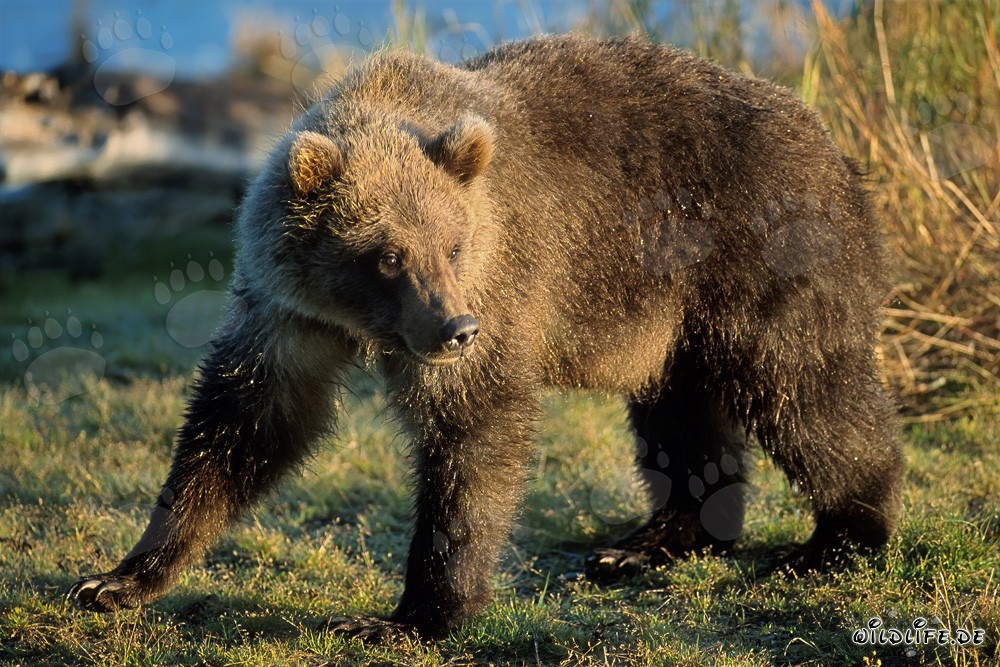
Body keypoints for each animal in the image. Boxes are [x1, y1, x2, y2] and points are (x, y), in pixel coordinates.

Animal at [66, 35, 903, 641]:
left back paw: (838, 535)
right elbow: (244, 422)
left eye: (454, 243)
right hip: (670, 310)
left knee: (804, 389)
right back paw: (646, 540)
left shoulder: (501, 285)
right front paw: (117, 578)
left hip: (757, 253)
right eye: (387, 253)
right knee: (680, 409)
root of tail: (833, 140)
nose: (455, 329)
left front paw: (405, 617)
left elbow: (471, 435)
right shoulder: (288, 312)